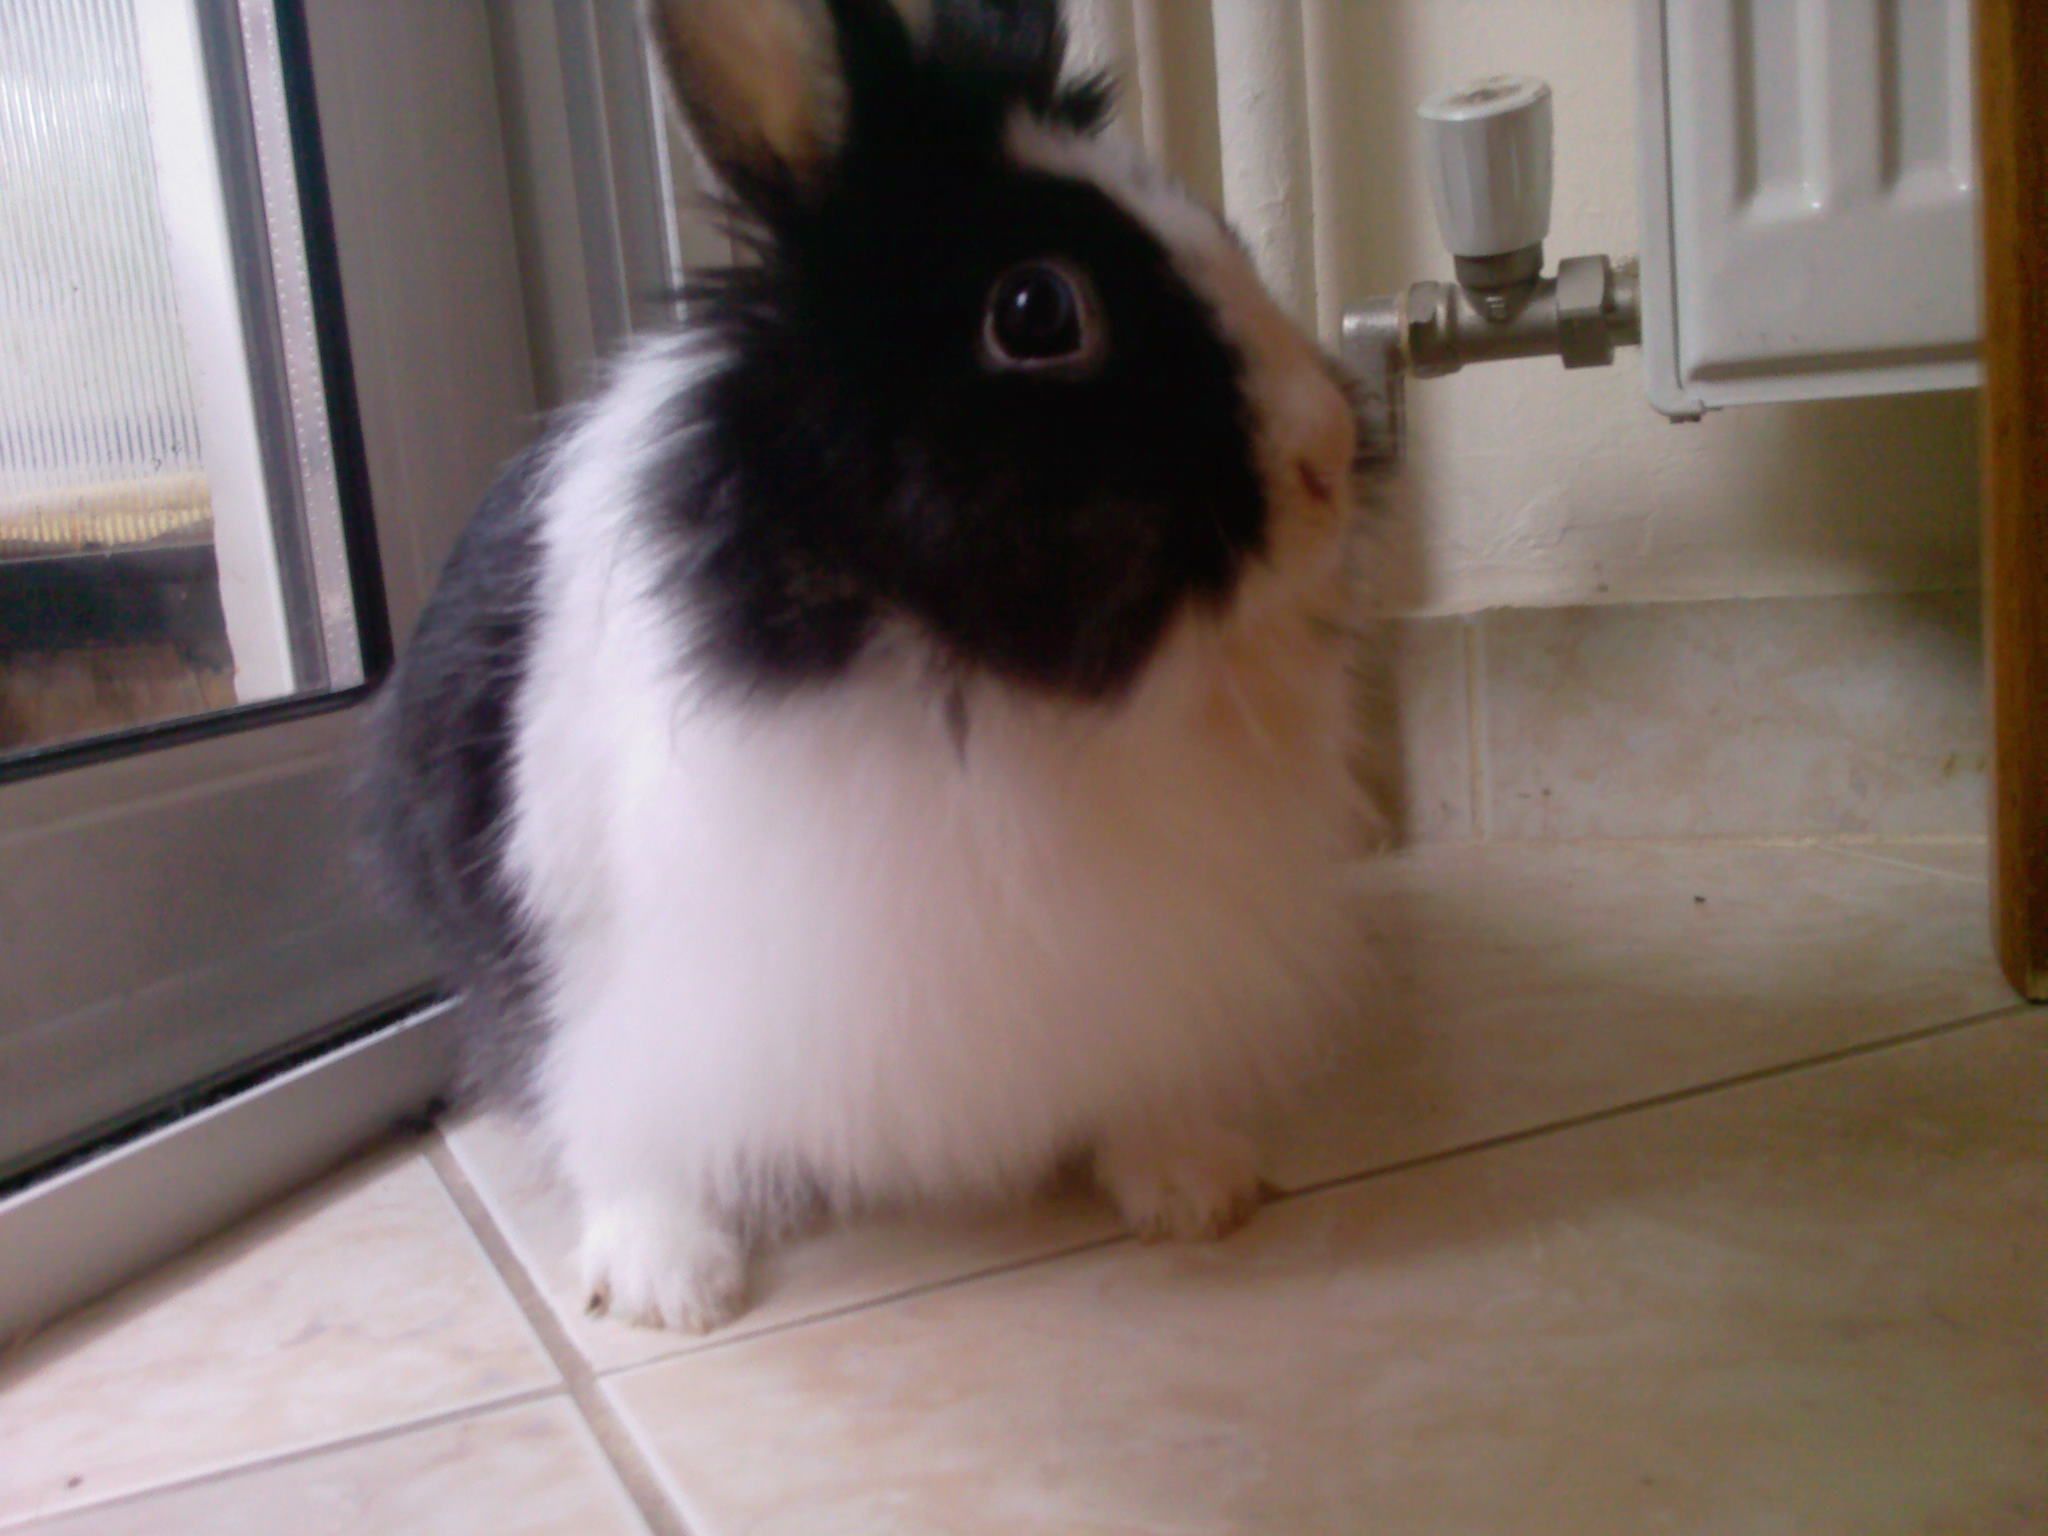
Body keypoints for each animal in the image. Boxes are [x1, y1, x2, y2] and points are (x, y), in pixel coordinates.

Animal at [363, 0, 1379, 1334]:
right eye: (1036, 311)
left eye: (1214, 225)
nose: (1335, 456)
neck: (974, 682)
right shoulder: (609, 969)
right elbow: (619, 1124)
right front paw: (665, 1281)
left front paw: (1191, 1185)